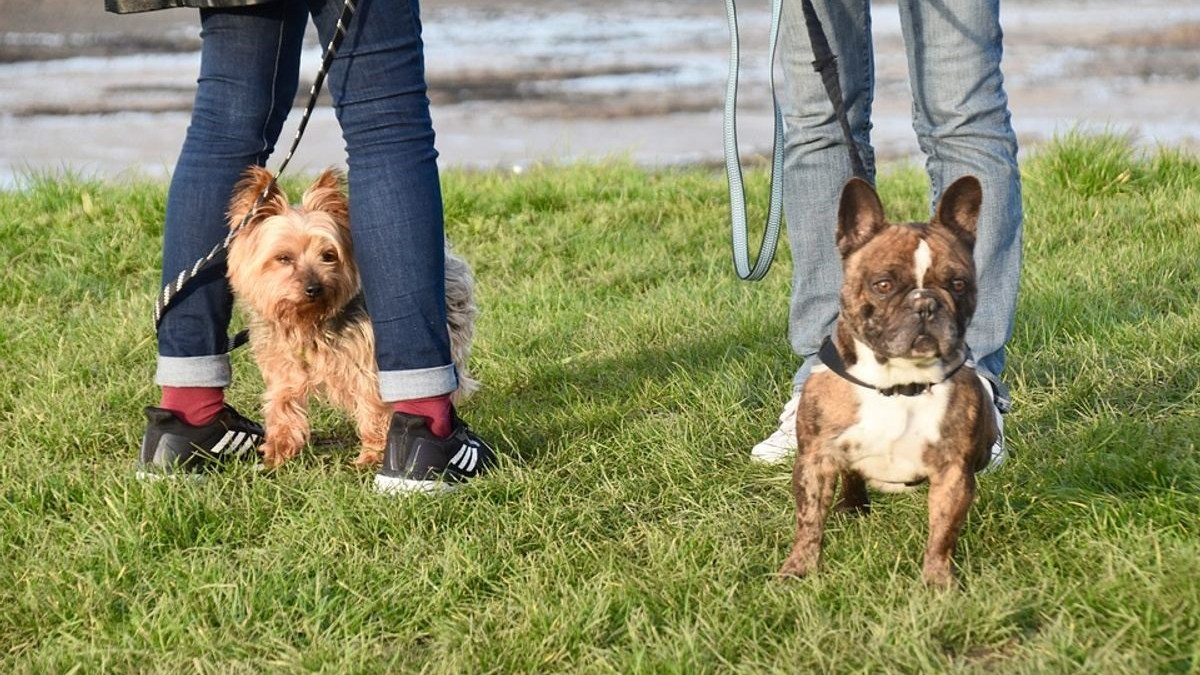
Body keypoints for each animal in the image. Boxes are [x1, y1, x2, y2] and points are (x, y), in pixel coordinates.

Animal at [225, 164, 477, 468]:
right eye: (283, 258)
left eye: (328, 255)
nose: (314, 288)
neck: (308, 322)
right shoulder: (282, 361)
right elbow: (282, 399)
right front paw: (279, 450)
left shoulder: (367, 363)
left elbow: (372, 405)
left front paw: (373, 455)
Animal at [777, 176, 993, 586]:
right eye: (883, 285)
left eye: (958, 284)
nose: (926, 304)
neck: (899, 383)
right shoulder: (816, 460)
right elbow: (808, 520)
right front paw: (798, 569)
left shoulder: (953, 473)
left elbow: (943, 531)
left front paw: (936, 581)